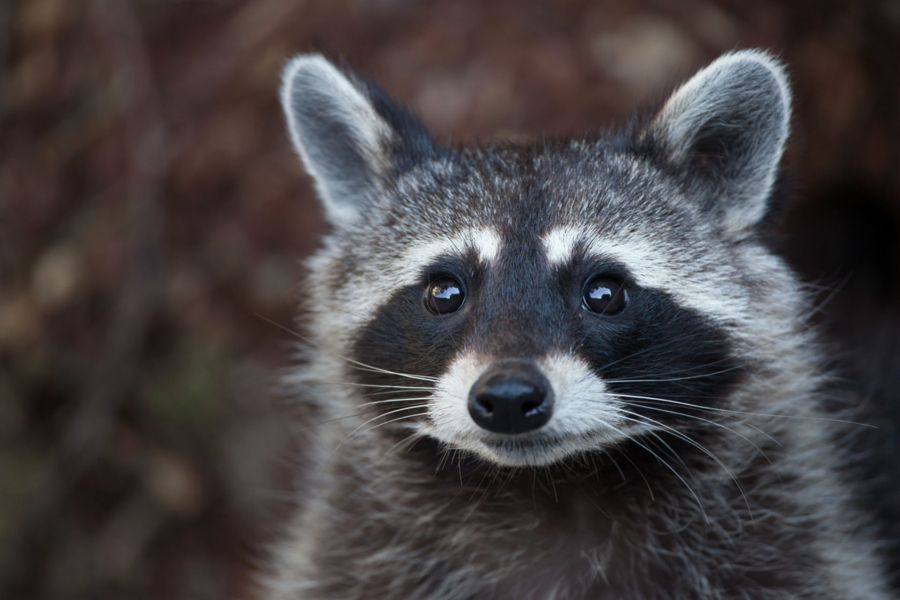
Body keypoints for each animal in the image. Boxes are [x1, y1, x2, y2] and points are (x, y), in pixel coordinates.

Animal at [265, 51, 894, 599]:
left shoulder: (789, 545)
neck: (549, 489)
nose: (509, 397)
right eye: (445, 293)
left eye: (604, 293)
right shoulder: (346, 556)